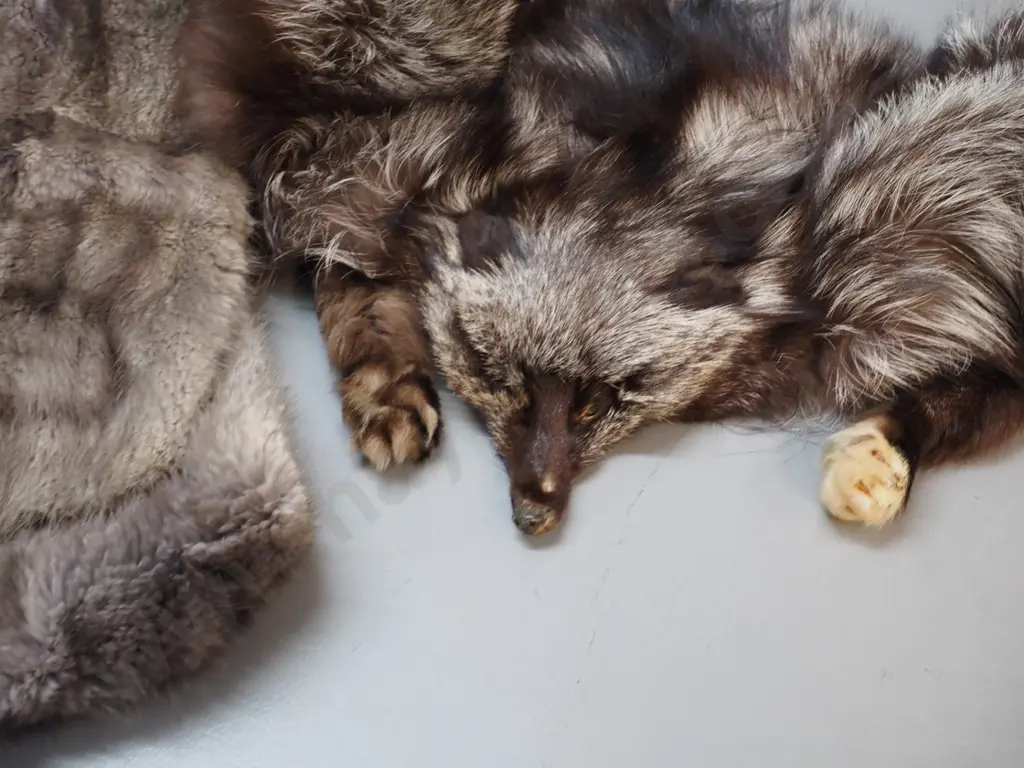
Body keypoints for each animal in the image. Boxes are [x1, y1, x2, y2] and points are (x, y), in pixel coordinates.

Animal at [179, 0, 1024, 537]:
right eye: (499, 376)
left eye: (603, 403)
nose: (534, 515)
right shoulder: (333, 156)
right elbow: (348, 277)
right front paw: (385, 387)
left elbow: (970, 399)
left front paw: (880, 460)